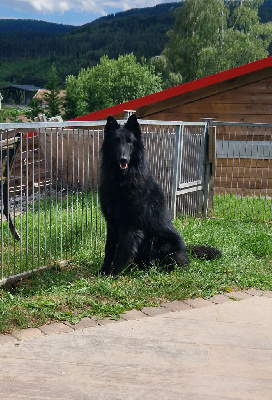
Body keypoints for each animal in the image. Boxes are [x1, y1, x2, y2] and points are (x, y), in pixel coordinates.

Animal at [98, 113, 221, 276]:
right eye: (116, 141)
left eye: (130, 142)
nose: (123, 159)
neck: (122, 179)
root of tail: (185, 249)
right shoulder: (112, 223)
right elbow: (109, 249)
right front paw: (104, 270)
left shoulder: (131, 225)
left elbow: (122, 250)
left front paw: (113, 273)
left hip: (159, 241)